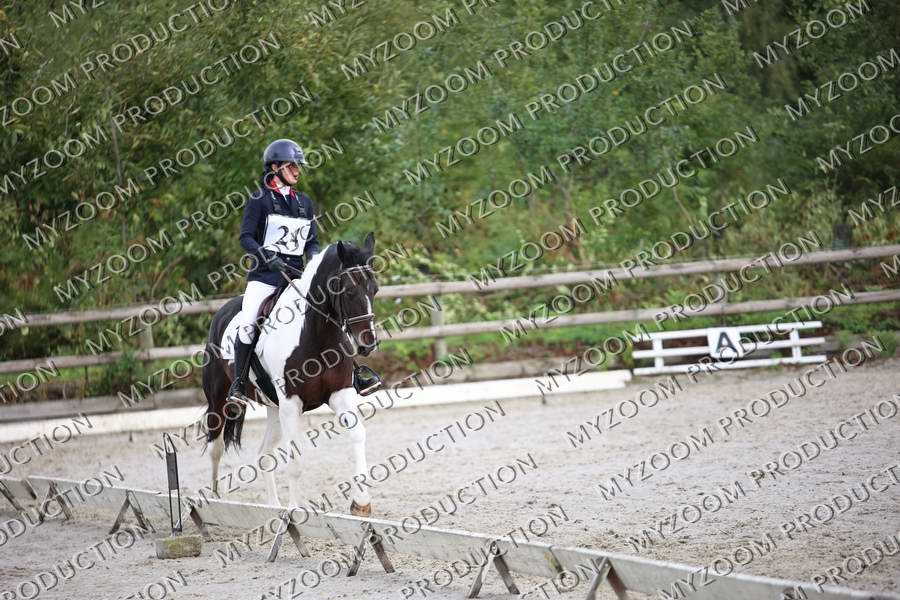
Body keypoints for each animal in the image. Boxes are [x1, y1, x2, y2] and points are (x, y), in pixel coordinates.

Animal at [201, 233, 380, 516]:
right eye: (349, 290)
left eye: (375, 290)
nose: (368, 344)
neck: (316, 334)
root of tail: (223, 309)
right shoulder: (291, 404)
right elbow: (295, 461)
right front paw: (295, 510)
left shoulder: (339, 394)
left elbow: (357, 434)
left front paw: (361, 503)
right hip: (219, 400)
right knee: (215, 449)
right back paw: (216, 504)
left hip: (274, 408)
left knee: (263, 454)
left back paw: (273, 507)